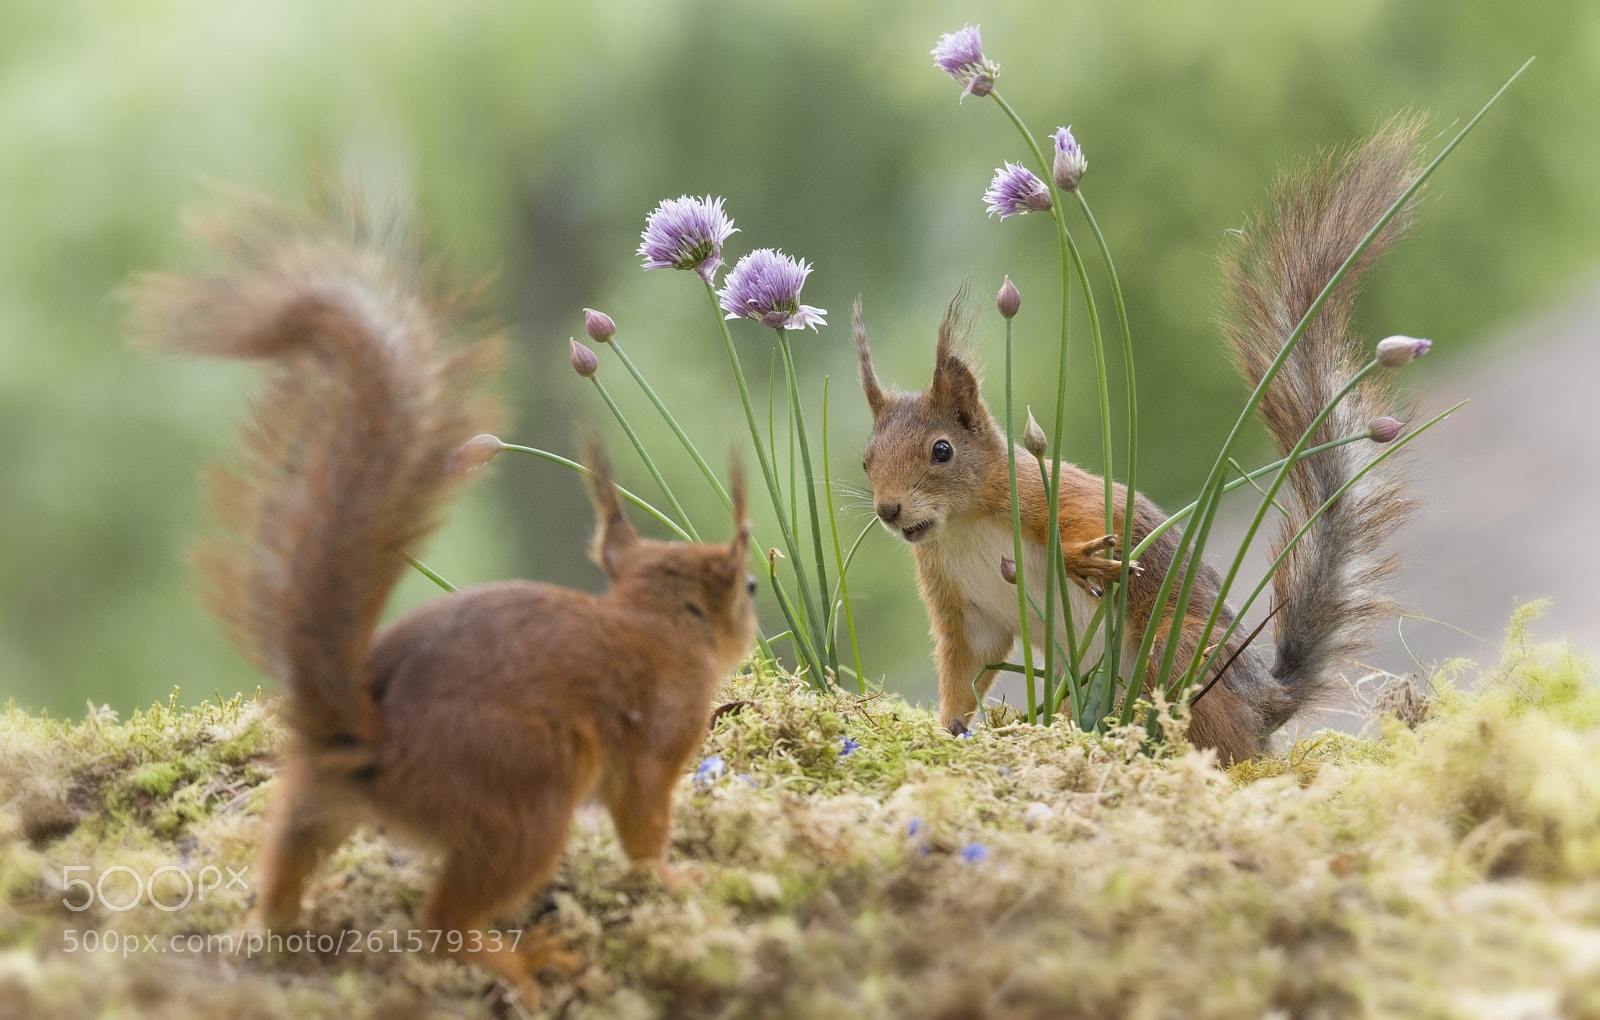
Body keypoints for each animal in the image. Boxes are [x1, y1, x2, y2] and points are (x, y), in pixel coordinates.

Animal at [132, 196, 757, 1004]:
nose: (751, 624)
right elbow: (643, 831)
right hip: (524, 800)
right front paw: (677, 877)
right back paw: (521, 960)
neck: (652, 622)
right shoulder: (659, 739)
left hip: (311, 805)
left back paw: (273, 919)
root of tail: (367, 742)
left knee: (282, 884)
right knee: (441, 924)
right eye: (748, 587)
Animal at [851, 119, 1423, 763]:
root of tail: (1265, 703)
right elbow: (966, 659)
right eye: (865, 462)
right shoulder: (960, 600)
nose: (889, 512)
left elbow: (1100, 515)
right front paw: (947, 726)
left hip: (1177, 655)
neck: (962, 524)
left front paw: (1080, 557)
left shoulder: (1041, 491)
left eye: (941, 450)